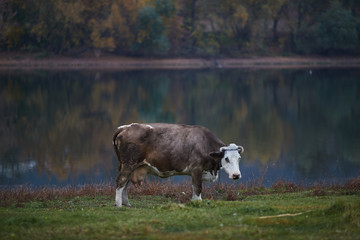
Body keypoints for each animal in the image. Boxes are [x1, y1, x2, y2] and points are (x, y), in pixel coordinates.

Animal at [112, 123, 245, 207]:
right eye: (226, 159)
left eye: (239, 158)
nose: (236, 175)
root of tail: (125, 127)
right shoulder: (196, 168)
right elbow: (198, 188)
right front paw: (198, 202)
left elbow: (194, 188)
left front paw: (194, 202)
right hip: (128, 164)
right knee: (121, 181)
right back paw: (119, 205)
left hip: (131, 166)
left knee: (125, 183)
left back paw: (127, 204)